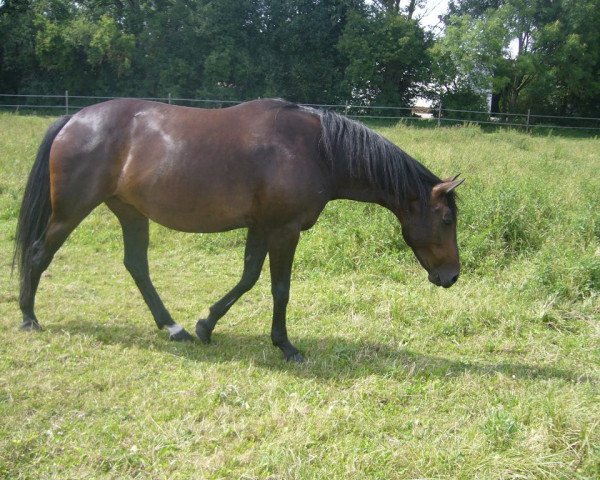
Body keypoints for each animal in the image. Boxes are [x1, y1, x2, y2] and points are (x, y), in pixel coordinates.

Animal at [12, 97, 464, 362]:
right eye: (447, 219)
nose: (452, 277)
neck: (316, 148)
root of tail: (75, 118)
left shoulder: (262, 227)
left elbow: (247, 278)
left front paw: (206, 325)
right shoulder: (283, 230)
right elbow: (279, 288)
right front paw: (285, 345)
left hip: (130, 213)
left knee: (137, 266)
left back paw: (174, 328)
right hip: (71, 211)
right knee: (38, 254)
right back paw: (29, 318)